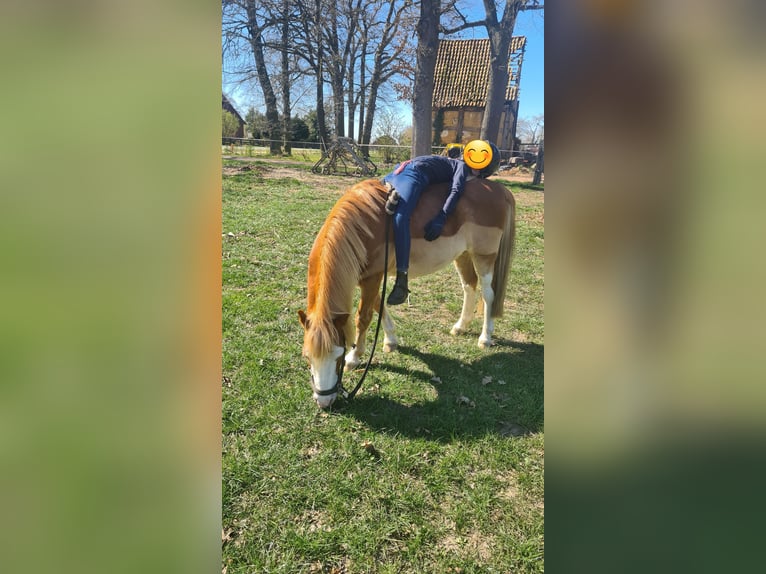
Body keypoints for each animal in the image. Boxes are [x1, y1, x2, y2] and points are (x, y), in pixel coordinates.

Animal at [297, 177, 516, 409]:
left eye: (338, 355)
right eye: (307, 357)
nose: (324, 402)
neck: (361, 228)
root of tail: (500, 189)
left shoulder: (372, 277)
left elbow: (363, 317)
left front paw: (354, 357)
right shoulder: (371, 277)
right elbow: (378, 304)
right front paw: (391, 340)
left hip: (484, 255)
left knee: (488, 293)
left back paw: (485, 337)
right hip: (463, 254)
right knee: (469, 286)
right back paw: (460, 326)